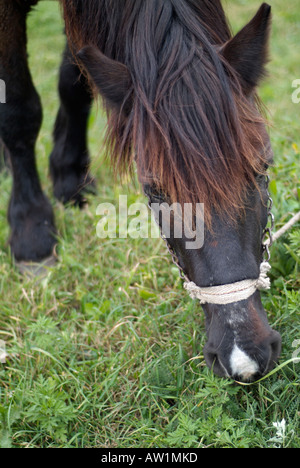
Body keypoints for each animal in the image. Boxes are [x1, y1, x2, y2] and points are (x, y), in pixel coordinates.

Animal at [0, 0, 282, 380]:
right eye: (154, 190)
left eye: (262, 167)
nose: (244, 355)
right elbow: (18, 110)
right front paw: (32, 233)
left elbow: (75, 80)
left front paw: (69, 176)